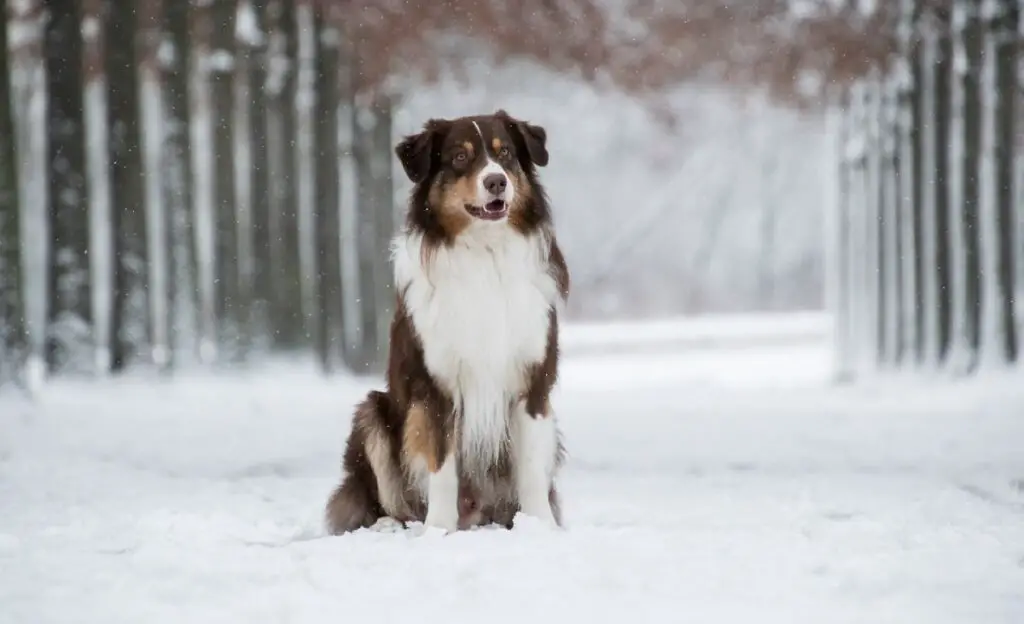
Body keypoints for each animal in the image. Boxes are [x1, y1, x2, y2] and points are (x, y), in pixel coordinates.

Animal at [325, 109, 573, 532]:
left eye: (504, 153)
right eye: (459, 157)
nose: (496, 181)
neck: (485, 252)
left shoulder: (533, 382)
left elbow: (530, 470)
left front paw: (540, 526)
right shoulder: (435, 386)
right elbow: (441, 468)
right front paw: (439, 531)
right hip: (372, 412)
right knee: (383, 499)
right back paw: (391, 525)